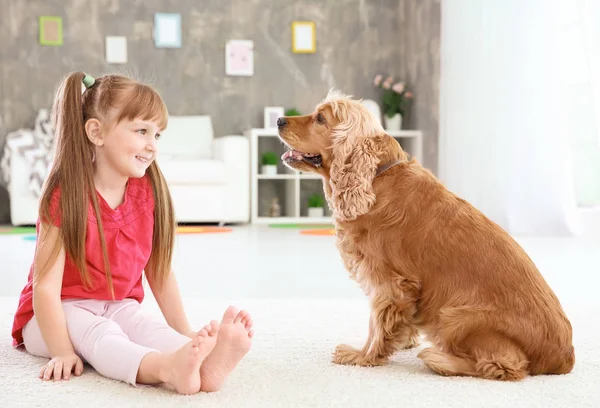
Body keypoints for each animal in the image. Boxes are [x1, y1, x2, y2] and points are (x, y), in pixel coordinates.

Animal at [278, 91, 576, 380]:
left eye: (321, 118)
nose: (280, 120)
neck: (376, 178)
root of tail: (564, 358)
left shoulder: (388, 281)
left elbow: (376, 323)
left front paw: (362, 356)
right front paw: (403, 339)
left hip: (456, 316)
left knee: (506, 365)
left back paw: (439, 359)